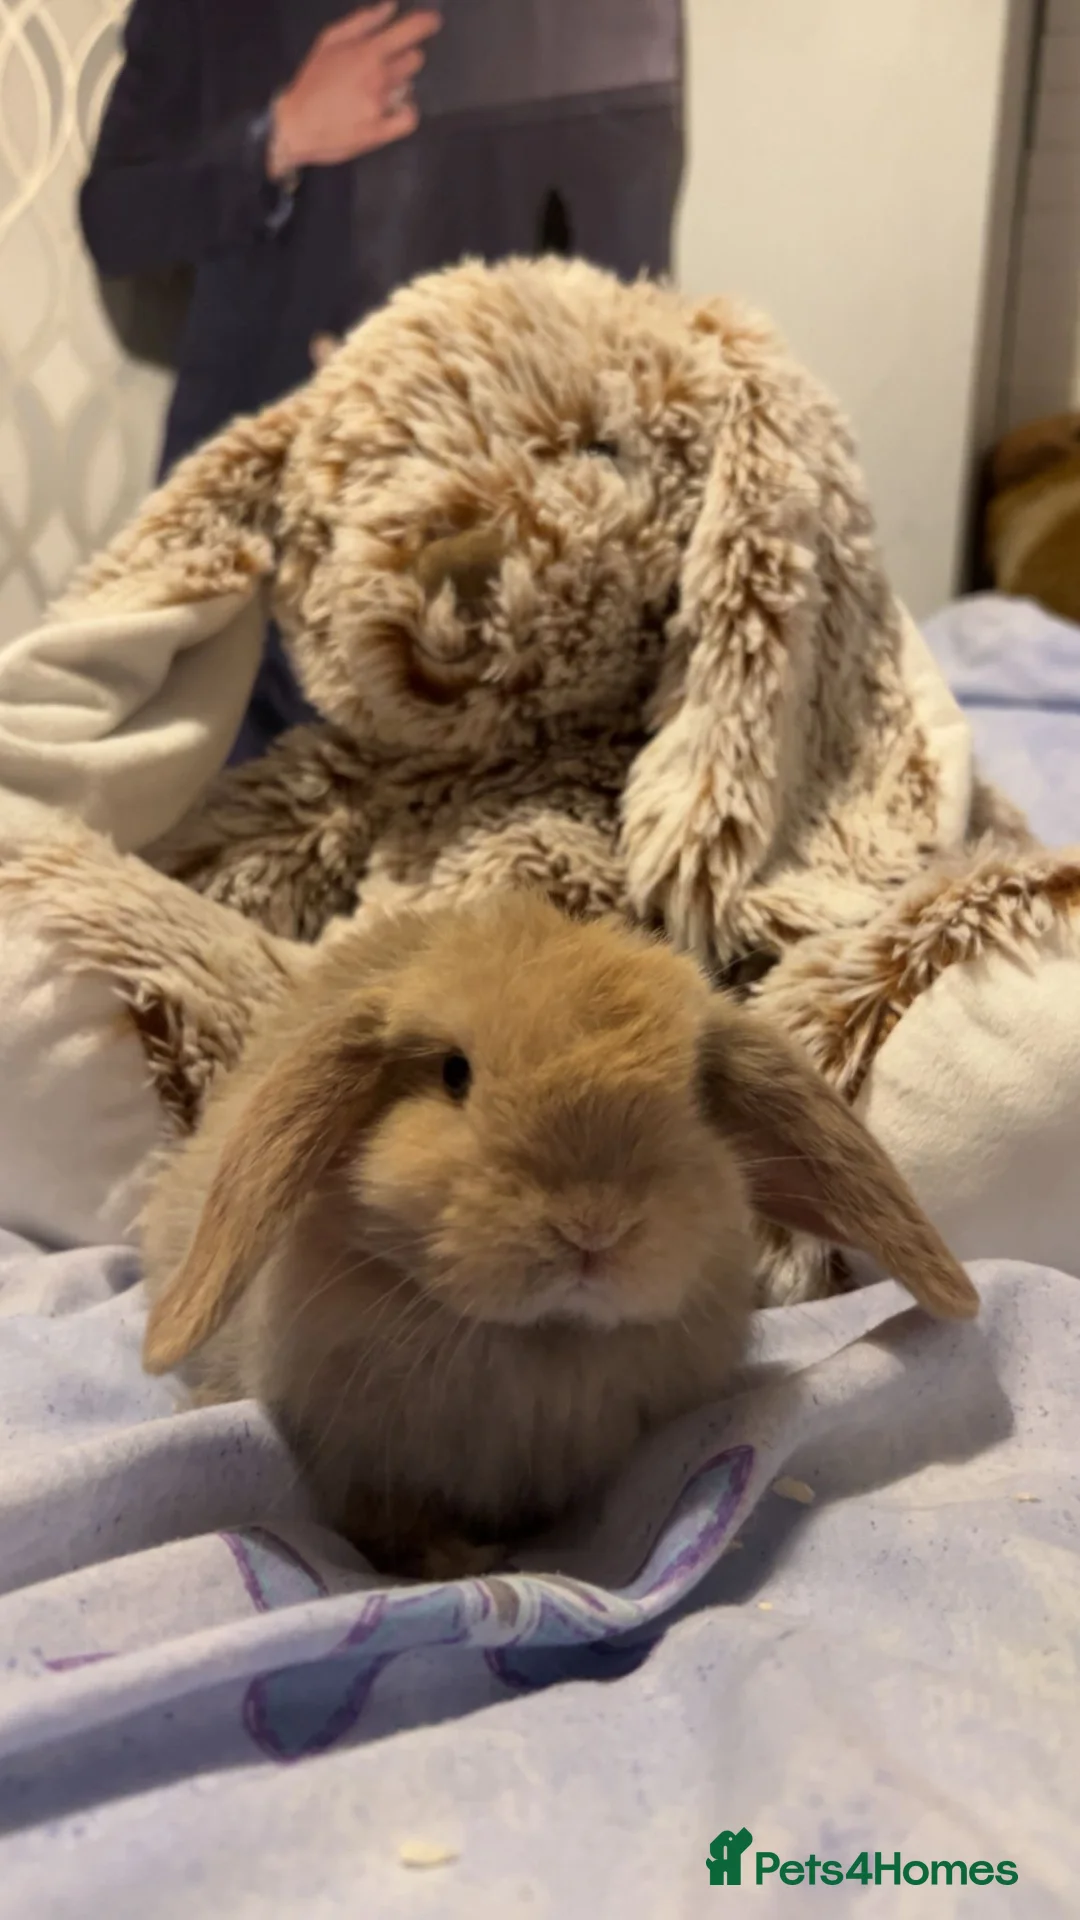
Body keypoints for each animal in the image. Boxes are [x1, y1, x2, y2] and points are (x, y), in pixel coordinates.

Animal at [141, 890, 978, 1581]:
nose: (594, 1227)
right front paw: (454, 1561)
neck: (541, 1341)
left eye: (695, 1094)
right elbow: (389, 1522)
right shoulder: (358, 1462)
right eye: (454, 1074)